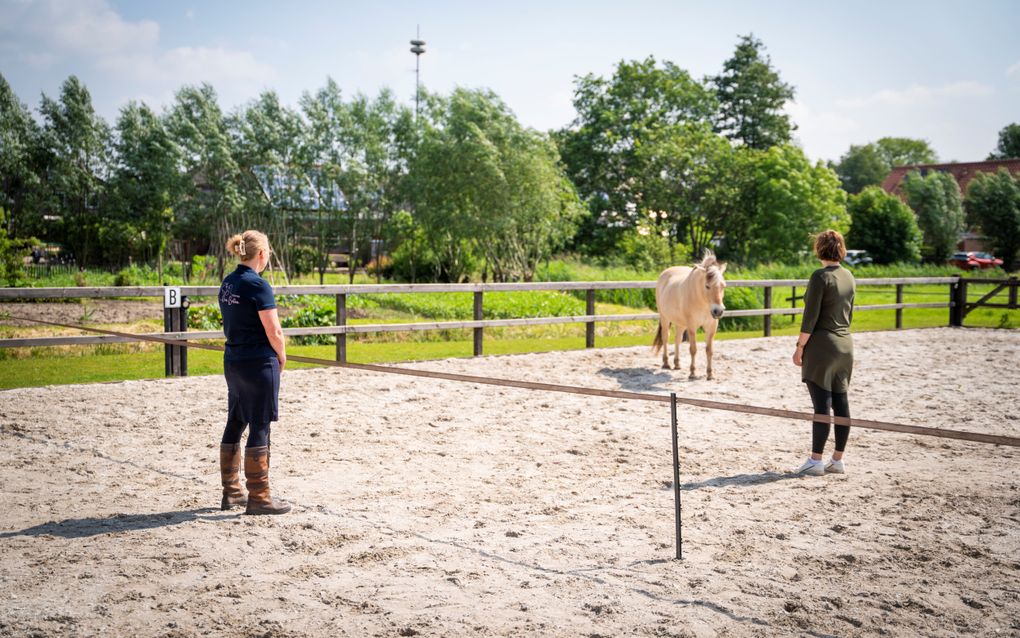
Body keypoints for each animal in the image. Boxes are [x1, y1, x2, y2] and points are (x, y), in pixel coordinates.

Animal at [652, 249, 726, 377]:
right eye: (707, 286)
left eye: (723, 286)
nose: (718, 311)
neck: (702, 302)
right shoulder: (692, 327)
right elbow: (693, 349)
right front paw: (692, 372)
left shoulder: (711, 327)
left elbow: (709, 350)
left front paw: (710, 374)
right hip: (665, 318)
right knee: (666, 337)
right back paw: (666, 363)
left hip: (681, 323)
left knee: (677, 339)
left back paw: (677, 364)